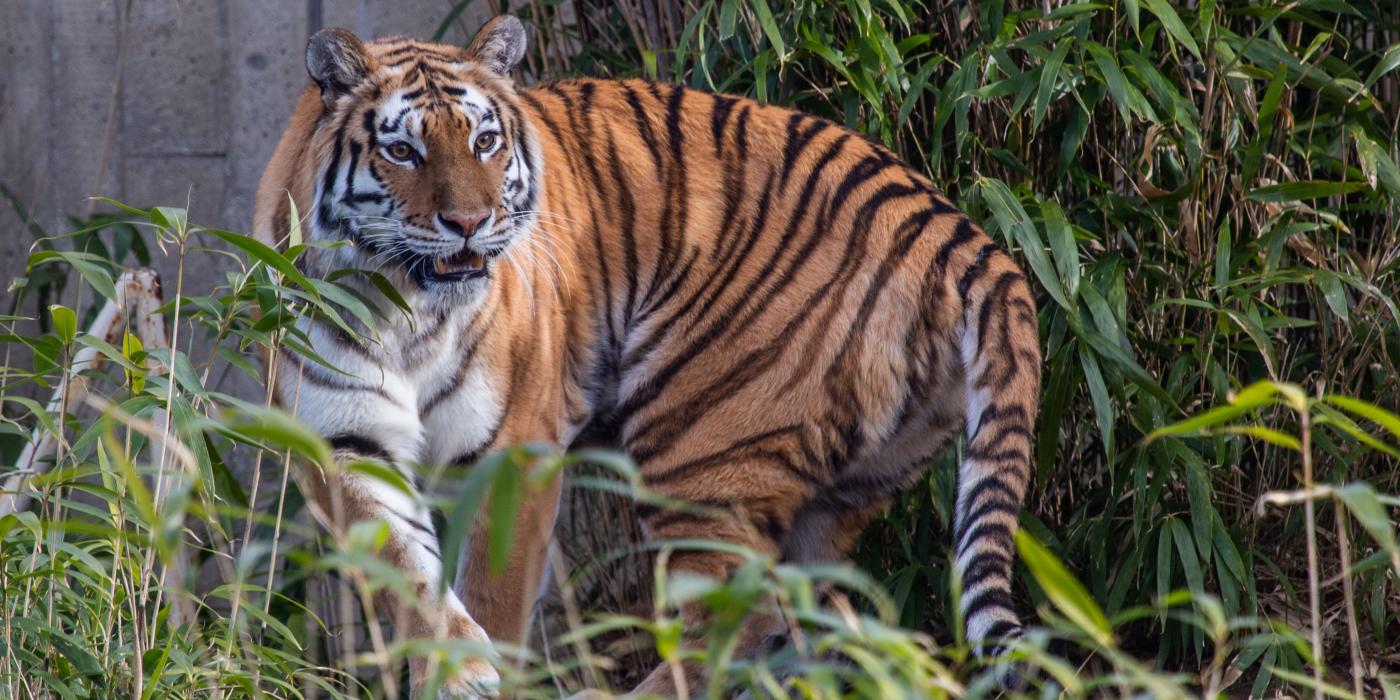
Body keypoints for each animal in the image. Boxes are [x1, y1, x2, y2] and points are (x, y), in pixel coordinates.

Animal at [252, 13, 1041, 697]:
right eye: (403, 151)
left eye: (483, 142)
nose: (470, 223)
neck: (405, 307)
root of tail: (962, 232)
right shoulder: (346, 442)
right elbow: (409, 574)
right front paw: (459, 669)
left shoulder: (514, 452)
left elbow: (494, 597)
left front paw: (488, 674)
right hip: (836, 491)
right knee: (833, 621)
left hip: (703, 440)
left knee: (740, 615)